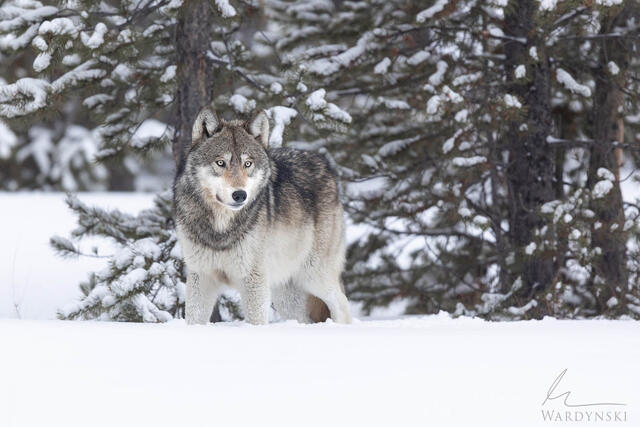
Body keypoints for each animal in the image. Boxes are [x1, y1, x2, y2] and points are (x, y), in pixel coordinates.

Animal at [174, 107, 352, 325]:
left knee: (342, 304)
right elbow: (193, 319)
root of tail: (325, 165)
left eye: (248, 163)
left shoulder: (253, 279)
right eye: (221, 163)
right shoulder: (201, 276)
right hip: (285, 294)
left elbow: (256, 321)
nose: (240, 195)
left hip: (313, 275)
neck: (221, 229)